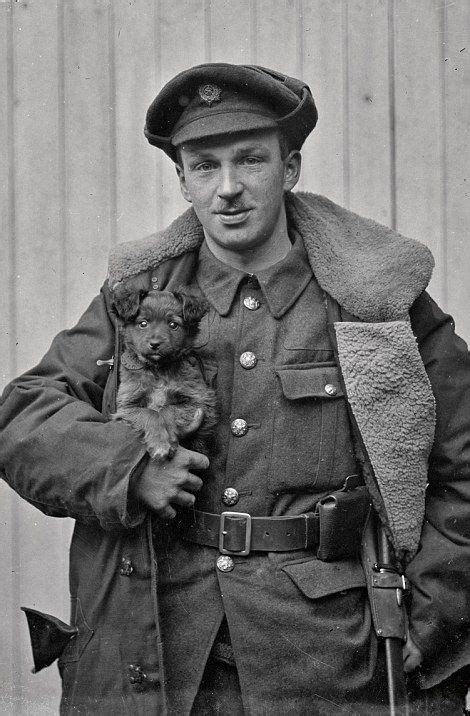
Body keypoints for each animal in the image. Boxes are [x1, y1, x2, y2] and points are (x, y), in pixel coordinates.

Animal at [113, 288, 218, 462]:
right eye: (143, 323)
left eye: (173, 324)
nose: (155, 344)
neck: (158, 371)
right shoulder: (127, 407)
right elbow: (150, 414)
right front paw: (159, 444)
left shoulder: (198, 402)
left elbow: (167, 410)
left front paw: (166, 438)